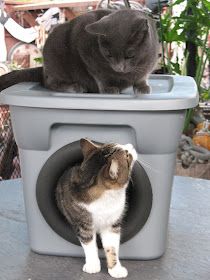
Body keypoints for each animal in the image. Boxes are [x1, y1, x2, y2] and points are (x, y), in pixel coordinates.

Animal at [0, 9, 158, 94]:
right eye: (108, 54)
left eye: (130, 55)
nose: (119, 68)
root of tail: (44, 69)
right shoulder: (85, 50)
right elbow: (100, 76)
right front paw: (108, 88)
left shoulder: (148, 65)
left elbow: (142, 76)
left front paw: (142, 87)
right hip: (55, 57)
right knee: (49, 83)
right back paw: (75, 87)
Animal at [55, 138, 138, 278]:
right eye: (127, 155)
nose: (131, 145)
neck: (105, 200)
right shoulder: (83, 226)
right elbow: (89, 245)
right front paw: (93, 265)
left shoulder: (112, 224)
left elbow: (112, 247)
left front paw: (115, 269)